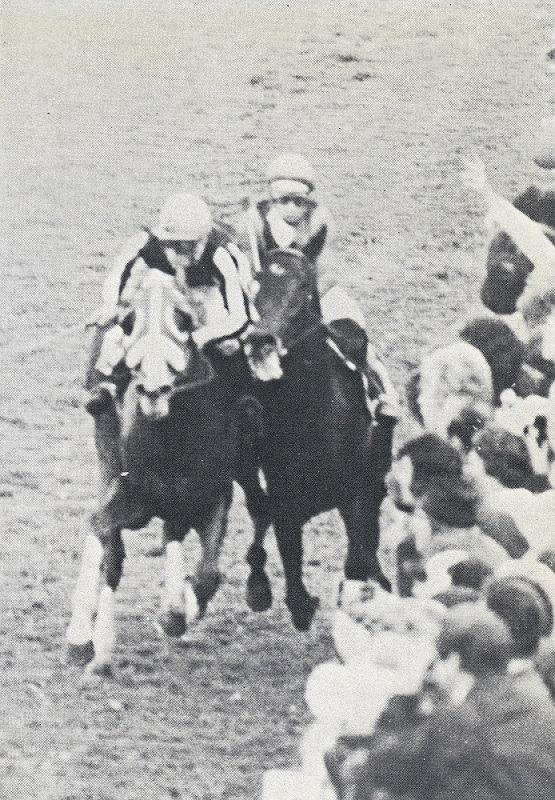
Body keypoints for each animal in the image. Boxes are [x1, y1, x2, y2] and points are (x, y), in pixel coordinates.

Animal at [66, 268, 244, 673]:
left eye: (183, 320)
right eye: (129, 322)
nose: (153, 389)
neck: (174, 434)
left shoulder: (213, 495)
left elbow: (208, 573)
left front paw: (177, 613)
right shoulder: (129, 497)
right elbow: (105, 540)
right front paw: (94, 645)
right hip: (107, 461)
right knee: (106, 543)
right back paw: (85, 640)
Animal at [242, 248, 395, 630]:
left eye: (303, 288)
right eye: (255, 285)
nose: (260, 342)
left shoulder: (357, 492)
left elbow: (358, 556)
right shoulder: (285, 499)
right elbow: (294, 581)